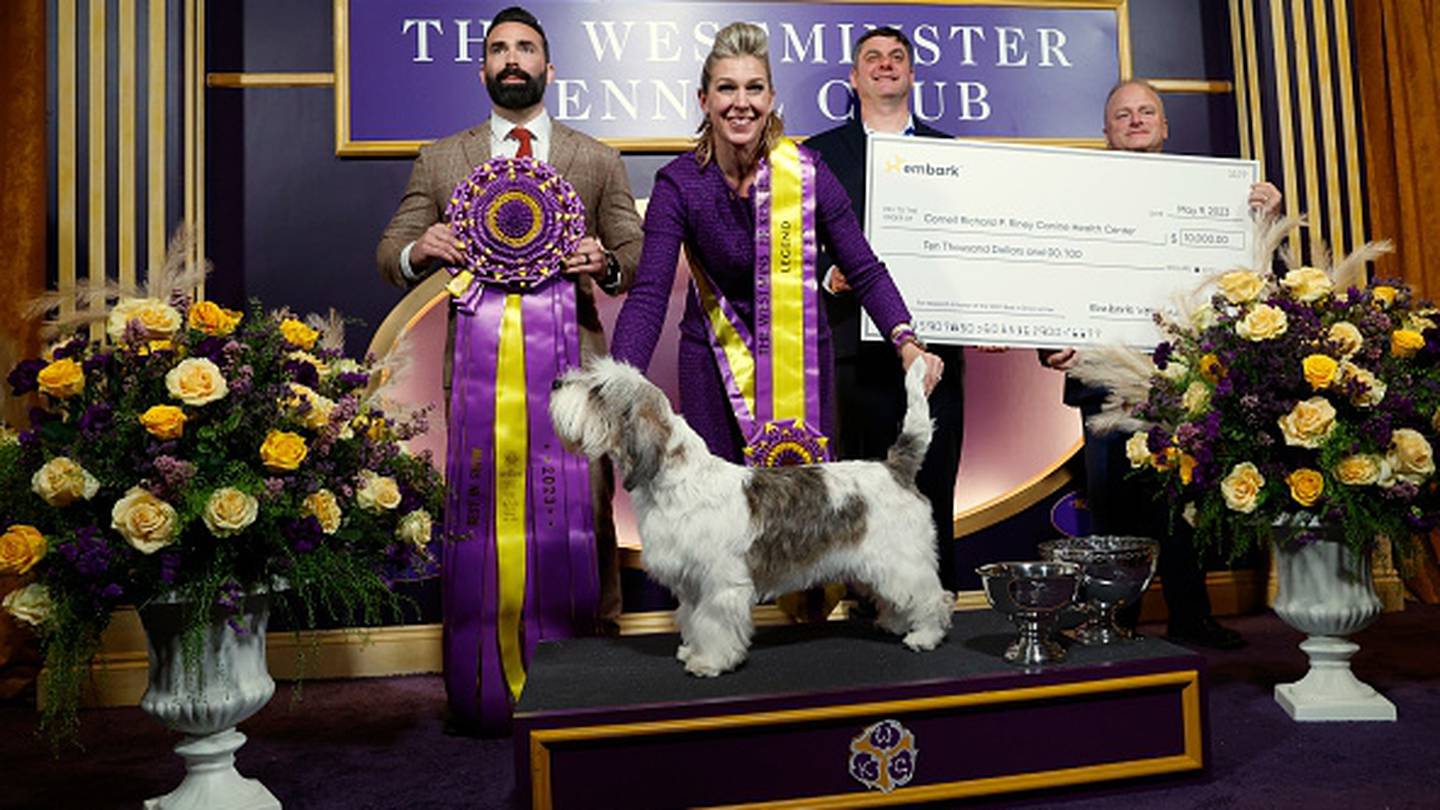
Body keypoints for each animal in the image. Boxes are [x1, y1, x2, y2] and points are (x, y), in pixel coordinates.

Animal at [550, 355, 956, 671]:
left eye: (598, 391)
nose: (555, 382)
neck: (678, 483)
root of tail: (895, 467)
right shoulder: (691, 585)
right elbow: (693, 620)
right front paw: (691, 651)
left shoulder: (719, 584)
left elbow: (713, 623)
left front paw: (709, 662)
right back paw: (896, 624)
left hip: (902, 558)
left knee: (933, 596)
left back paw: (925, 635)